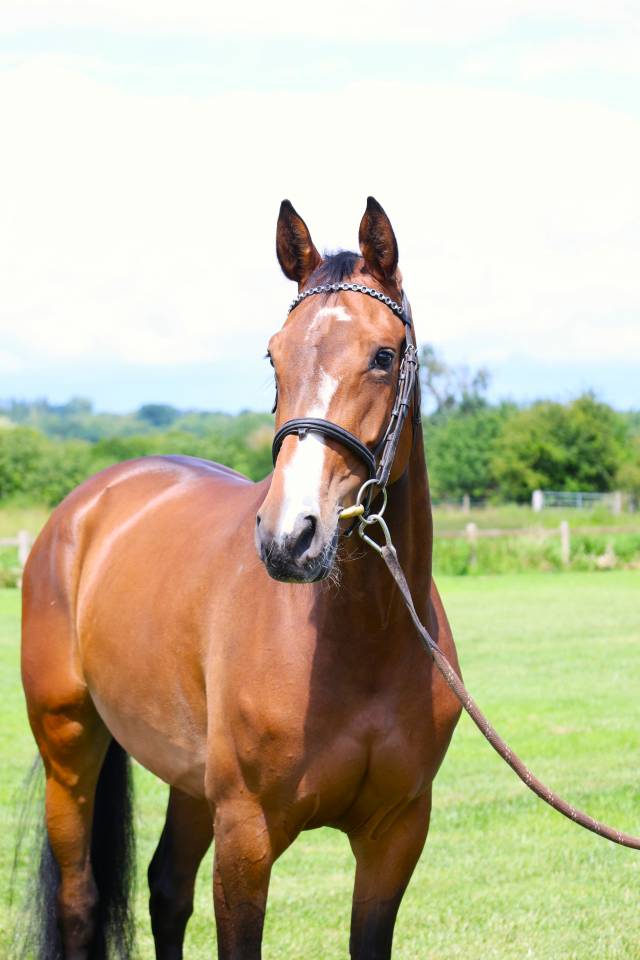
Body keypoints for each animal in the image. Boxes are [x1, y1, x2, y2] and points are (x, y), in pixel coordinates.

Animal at [20, 197, 462, 960]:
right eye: (274, 355)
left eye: (383, 356)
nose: (290, 537)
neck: (365, 642)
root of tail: (84, 508)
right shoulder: (247, 837)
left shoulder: (396, 836)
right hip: (69, 750)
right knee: (79, 902)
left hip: (189, 780)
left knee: (167, 889)